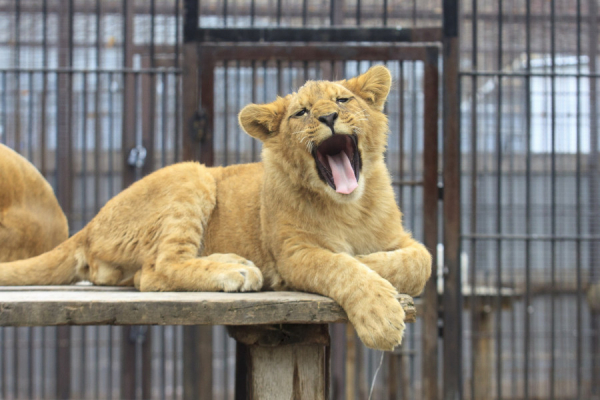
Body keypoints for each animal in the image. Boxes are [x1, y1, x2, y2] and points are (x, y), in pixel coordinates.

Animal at [0, 65, 432, 350]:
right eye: (302, 112)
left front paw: (372, 263)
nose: (328, 116)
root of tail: (89, 225)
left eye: (344, 100)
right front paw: (380, 313)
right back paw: (235, 271)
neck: (349, 207)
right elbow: (340, 266)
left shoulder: (402, 238)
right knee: (157, 271)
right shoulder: (294, 252)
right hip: (192, 175)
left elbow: (421, 261)